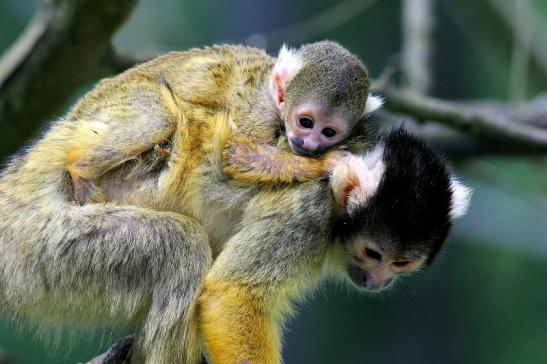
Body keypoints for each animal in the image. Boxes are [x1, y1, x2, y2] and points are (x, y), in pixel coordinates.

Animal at [66, 42, 384, 205]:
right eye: (306, 122)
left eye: (328, 131)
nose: (310, 144)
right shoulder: (256, 108)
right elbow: (234, 152)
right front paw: (325, 164)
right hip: (115, 100)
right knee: (159, 117)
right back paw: (80, 171)